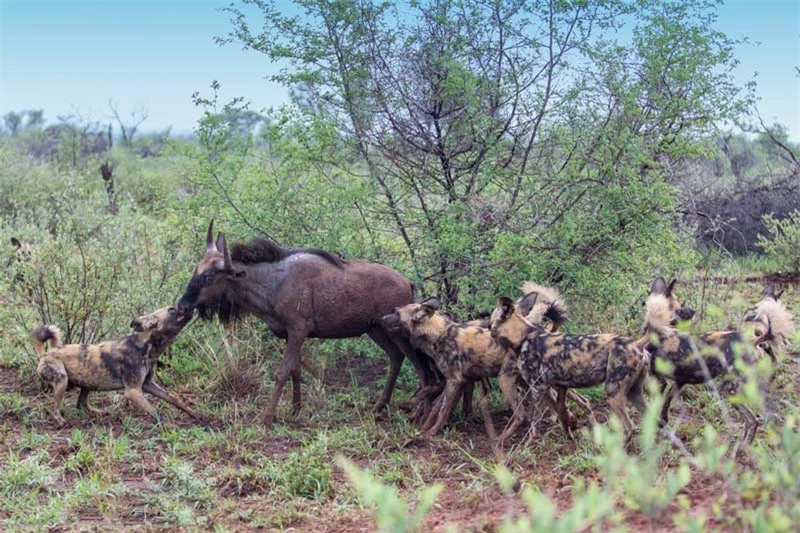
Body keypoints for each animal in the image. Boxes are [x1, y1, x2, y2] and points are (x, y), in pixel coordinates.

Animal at [33, 306, 203, 426]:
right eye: (172, 309)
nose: (190, 306)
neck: (148, 347)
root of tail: (45, 354)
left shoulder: (148, 385)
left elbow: (176, 400)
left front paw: (198, 416)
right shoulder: (133, 391)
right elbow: (155, 412)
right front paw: (169, 426)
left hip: (88, 380)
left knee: (81, 404)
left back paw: (98, 413)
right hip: (62, 380)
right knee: (56, 410)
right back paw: (61, 422)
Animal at [488, 290, 648, 444]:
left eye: (490, 324)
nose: (488, 329)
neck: (523, 337)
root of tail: (637, 343)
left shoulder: (538, 387)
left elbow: (534, 419)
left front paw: (528, 443)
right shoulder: (559, 387)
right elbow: (562, 414)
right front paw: (570, 434)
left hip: (613, 393)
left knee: (630, 427)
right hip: (634, 393)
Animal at [640, 276, 764, 442]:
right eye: (682, 304)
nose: (693, 310)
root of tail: (752, 341)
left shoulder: (659, 381)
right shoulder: (678, 382)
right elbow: (665, 407)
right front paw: (663, 424)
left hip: (729, 390)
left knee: (752, 421)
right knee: (753, 421)